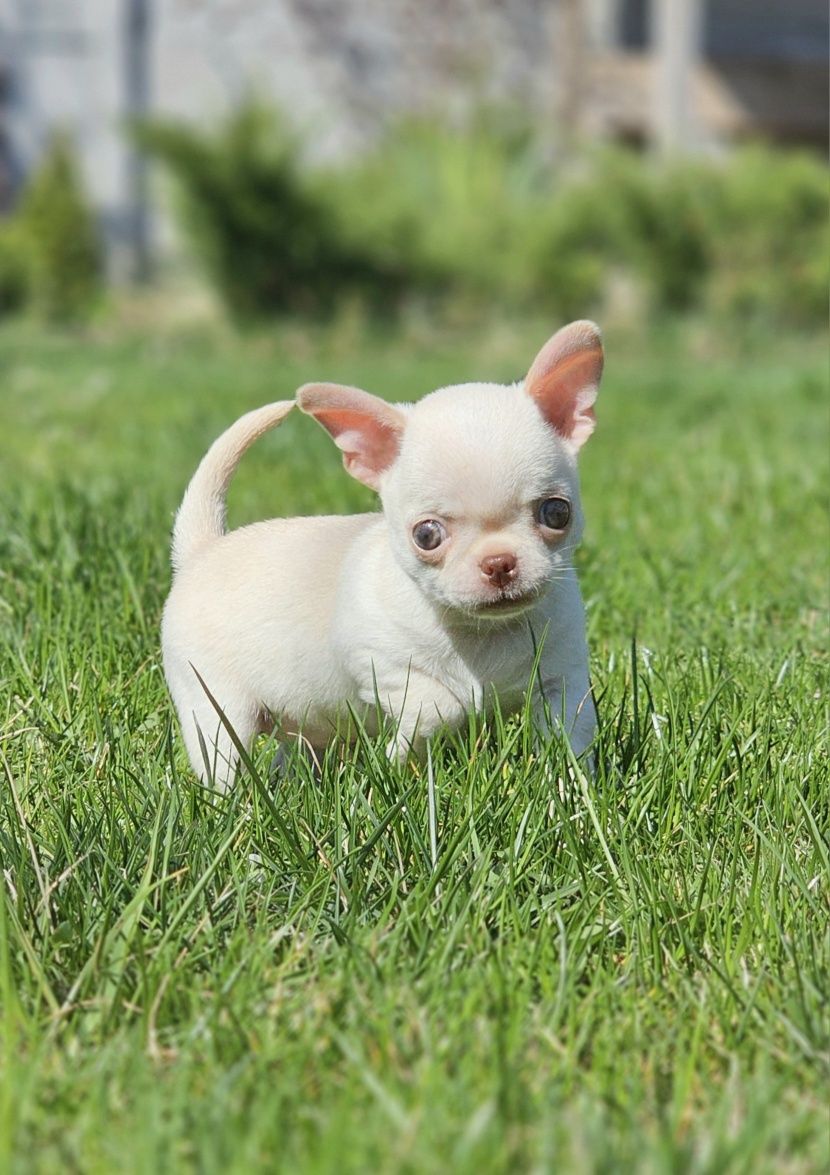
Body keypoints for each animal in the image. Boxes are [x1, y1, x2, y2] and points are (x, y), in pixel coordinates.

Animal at [162, 319, 601, 789]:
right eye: (426, 535)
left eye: (557, 512)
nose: (499, 563)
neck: (482, 633)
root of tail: (203, 548)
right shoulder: (377, 661)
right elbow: (439, 704)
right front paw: (399, 756)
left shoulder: (562, 681)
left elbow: (572, 737)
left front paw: (574, 791)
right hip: (215, 707)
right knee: (221, 761)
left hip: (304, 724)